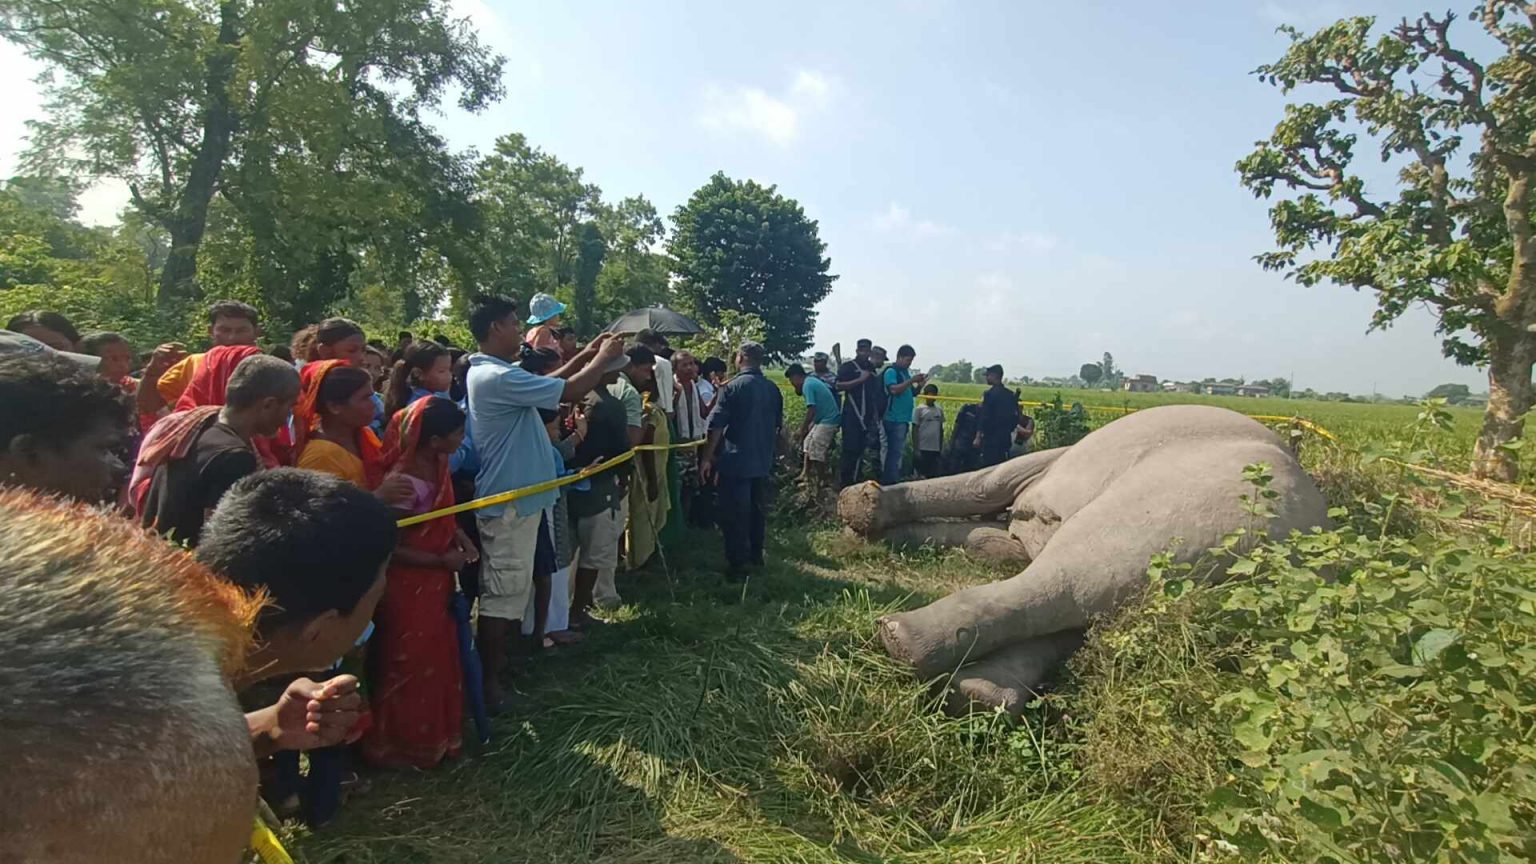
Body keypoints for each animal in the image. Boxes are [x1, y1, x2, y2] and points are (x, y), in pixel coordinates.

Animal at [835, 402, 1327, 713]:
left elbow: (986, 483)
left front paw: (857, 508)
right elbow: (986, 519)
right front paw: (864, 524)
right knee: (1073, 618)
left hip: (1183, 514)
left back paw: (902, 640)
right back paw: (980, 694)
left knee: (1062, 581)